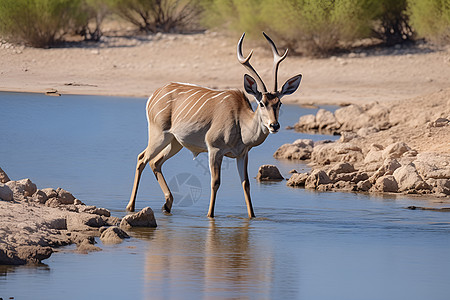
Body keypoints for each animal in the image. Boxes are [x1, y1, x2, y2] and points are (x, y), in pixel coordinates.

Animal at [126, 32, 302, 218]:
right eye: (261, 103)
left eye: (279, 103)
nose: (274, 125)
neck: (240, 124)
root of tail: (153, 95)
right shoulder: (214, 149)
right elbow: (215, 182)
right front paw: (210, 215)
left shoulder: (242, 154)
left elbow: (246, 183)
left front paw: (252, 216)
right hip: (159, 135)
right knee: (142, 158)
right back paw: (131, 206)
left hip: (175, 142)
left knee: (155, 162)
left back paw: (167, 205)